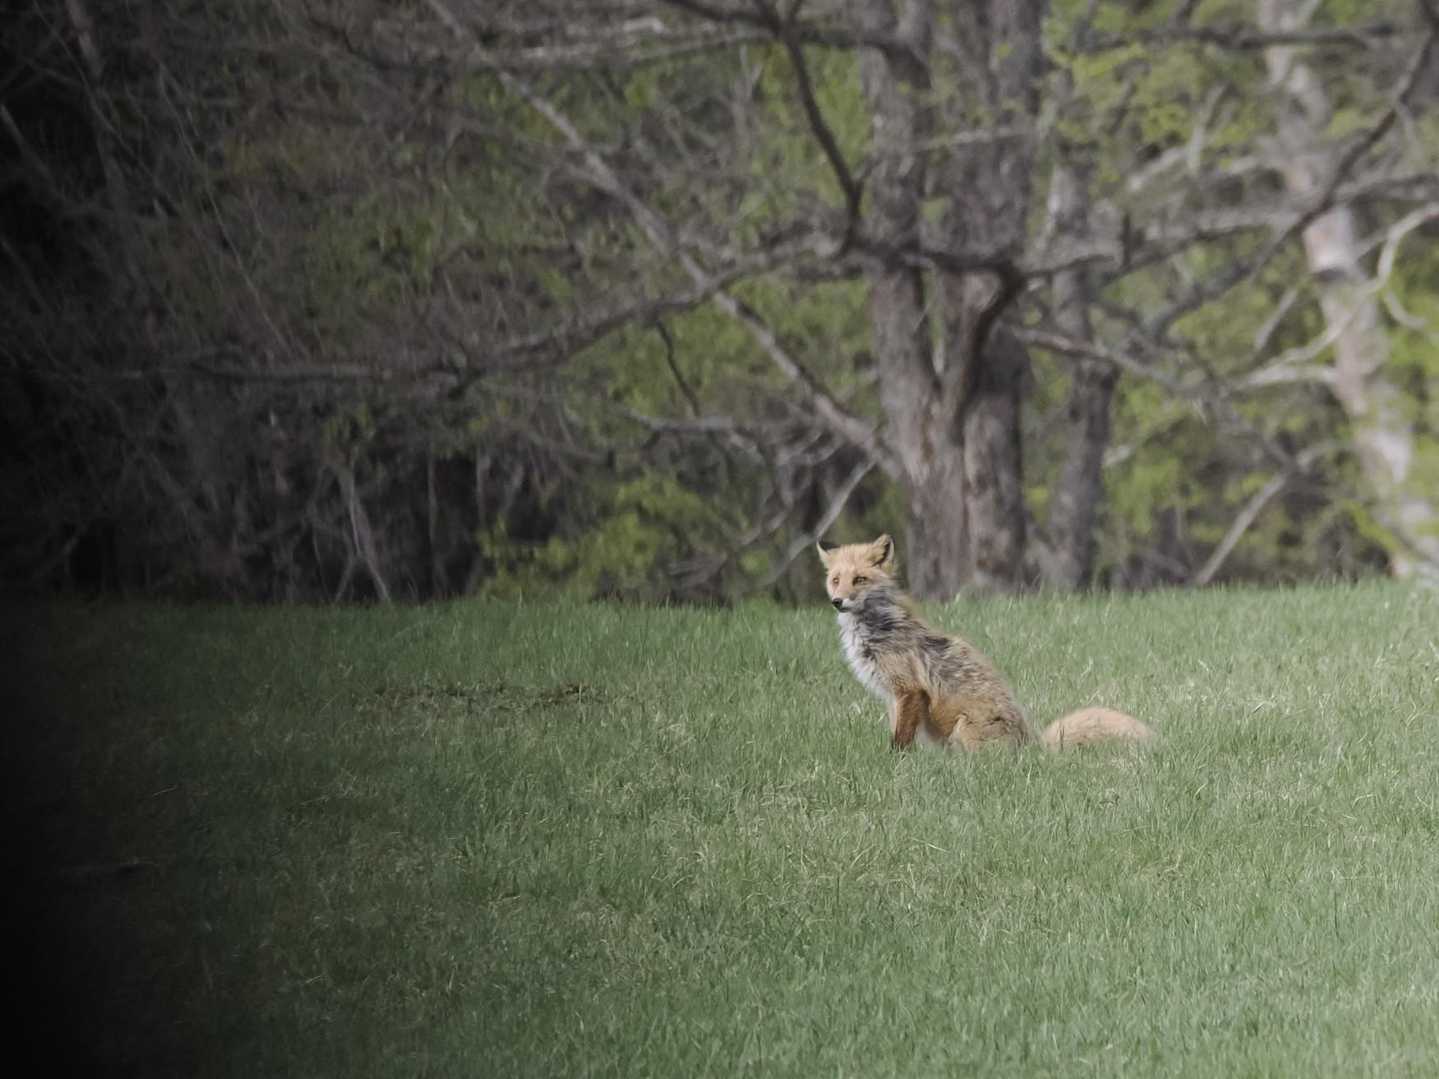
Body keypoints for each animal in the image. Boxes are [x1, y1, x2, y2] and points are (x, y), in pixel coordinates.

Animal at [817, 534, 1154, 751]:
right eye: (835, 580)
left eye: (859, 580)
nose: (837, 602)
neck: (876, 627)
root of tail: (1030, 746)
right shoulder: (892, 697)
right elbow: (899, 734)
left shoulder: (908, 689)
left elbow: (899, 742)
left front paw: (896, 764)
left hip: (962, 730)